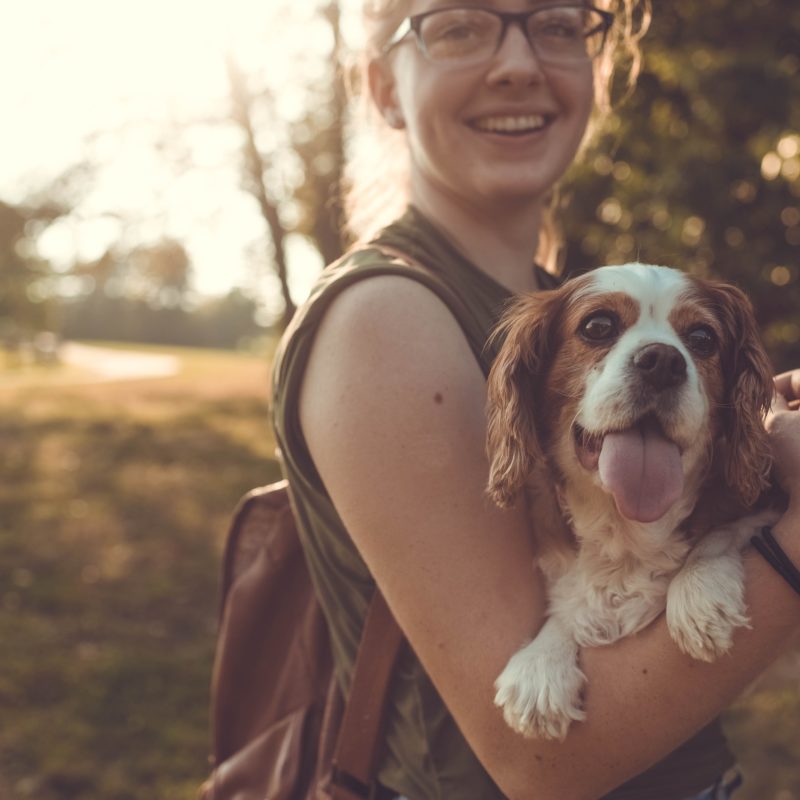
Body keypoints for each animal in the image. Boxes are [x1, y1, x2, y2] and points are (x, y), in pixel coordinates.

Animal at [484, 260, 780, 736]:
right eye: (597, 326)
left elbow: (723, 532)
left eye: (703, 338)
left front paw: (698, 591)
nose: (662, 362)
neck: (626, 528)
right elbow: (572, 601)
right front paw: (541, 662)